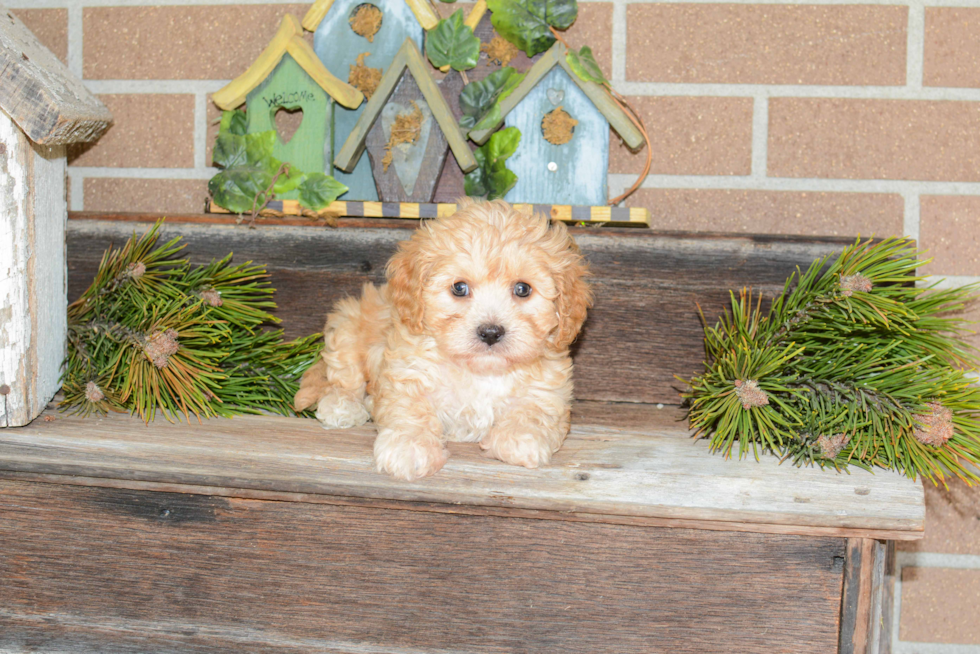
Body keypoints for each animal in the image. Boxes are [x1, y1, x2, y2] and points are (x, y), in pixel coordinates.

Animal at [292, 200, 588, 482]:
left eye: (523, 289)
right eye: (459, 288)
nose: (491, 332)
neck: (480, 371)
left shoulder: (550, 388)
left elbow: (535, 408)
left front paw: (519, 436)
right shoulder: (407, 371)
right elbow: (409, 409)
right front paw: (409, 447)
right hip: (349, 327)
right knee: (343, 376)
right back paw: (343, 406)